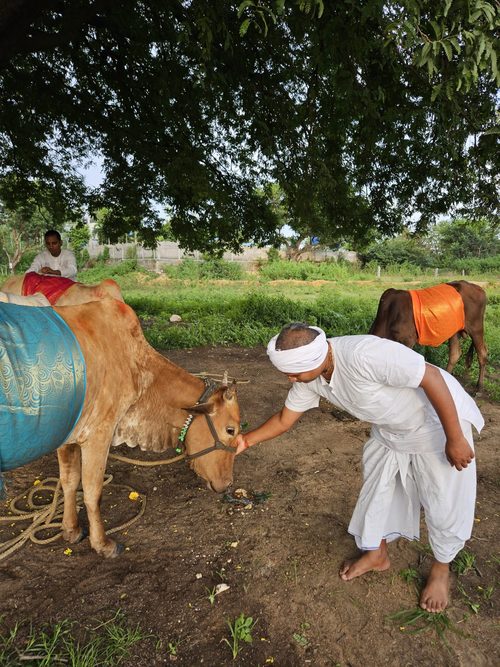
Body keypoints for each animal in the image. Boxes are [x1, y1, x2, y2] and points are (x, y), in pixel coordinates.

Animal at [0, 298, 240, 557]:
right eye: (231, 430)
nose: (228, 484)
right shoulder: (98, 434)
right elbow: (93, 491)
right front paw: (102, 543)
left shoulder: (66, 437)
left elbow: (69, 481)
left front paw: (71, 529)